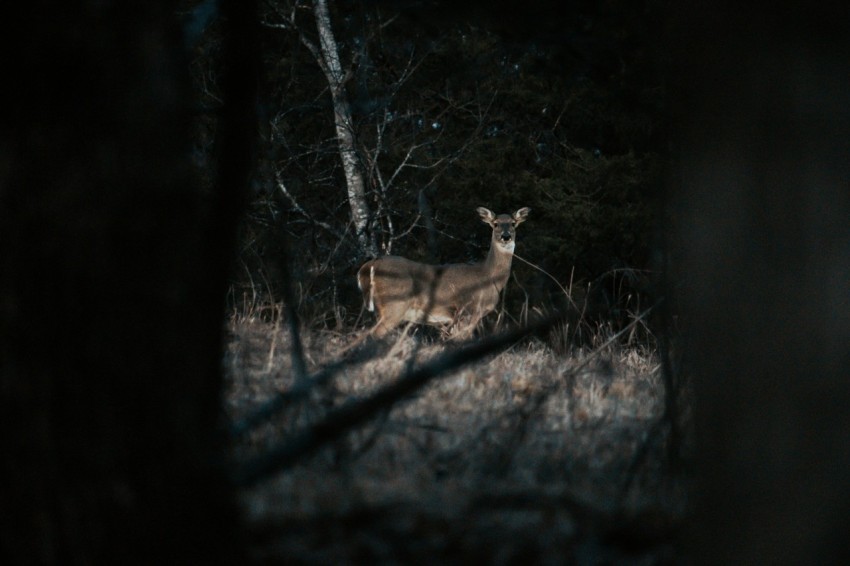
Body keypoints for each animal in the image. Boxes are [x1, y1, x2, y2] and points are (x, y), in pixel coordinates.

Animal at [354, 209, 528, 342]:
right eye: (495, 223)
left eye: (513, 223)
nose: (506, 236)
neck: (490, 277)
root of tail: (369, 266)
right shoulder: (468, 311)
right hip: (395, 304)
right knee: (372, 335)